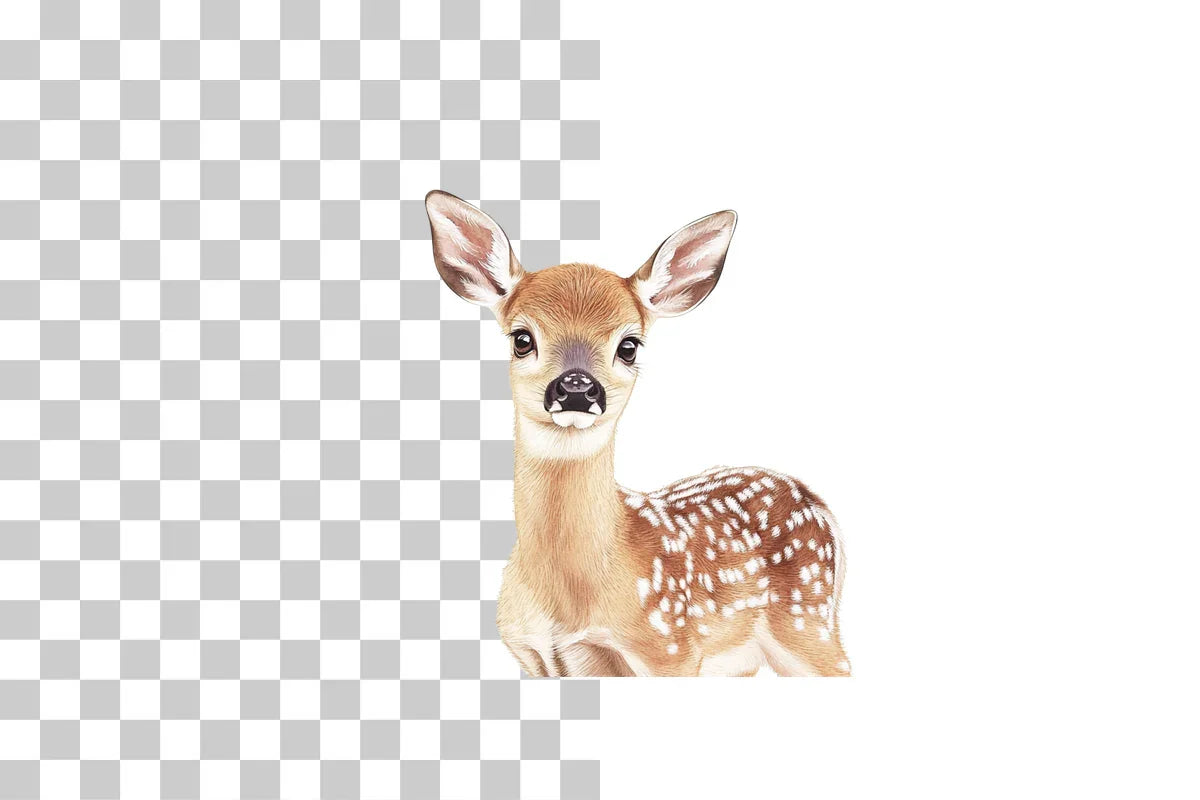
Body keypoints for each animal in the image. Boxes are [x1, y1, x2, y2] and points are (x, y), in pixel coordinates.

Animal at [425, 190, 852, 677]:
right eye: (522, 338)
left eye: (628, 346)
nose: (577, 388)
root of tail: (815, 502)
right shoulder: (532, 657)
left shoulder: (670, 647)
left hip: (806, 620)